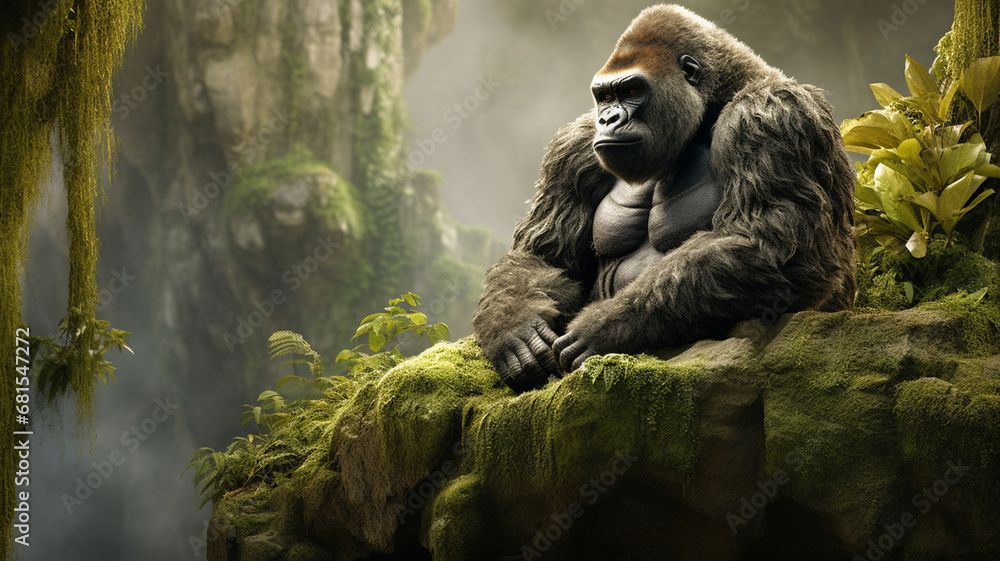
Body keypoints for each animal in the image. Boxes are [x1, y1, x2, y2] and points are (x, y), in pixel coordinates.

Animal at [473, 4, 855, 393]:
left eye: (631, 89)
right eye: (604, 96)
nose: (607, 119)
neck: (715, 100)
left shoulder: (772, 114)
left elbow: (765, 244)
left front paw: (605, 329)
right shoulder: (574, 146)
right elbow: (546, 258)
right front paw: (514, 329)